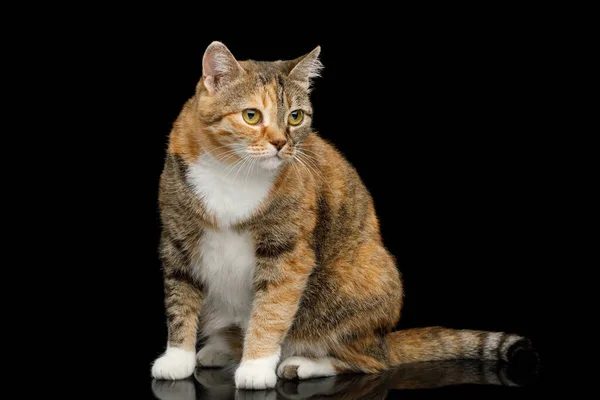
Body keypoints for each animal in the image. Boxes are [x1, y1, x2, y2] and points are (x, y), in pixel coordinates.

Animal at [150, 42, 536, 390]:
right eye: (251, 115)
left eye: (295, 117)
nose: (281, 144)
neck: (233, 169)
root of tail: (383, 338)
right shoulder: (177, 239)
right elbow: (179, 301)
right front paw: (178, 359)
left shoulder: (288, 252)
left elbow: (272, 308)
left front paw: (256, 366)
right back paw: (220, 349)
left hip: (356, 280)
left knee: (369, 361)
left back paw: (301, 364)